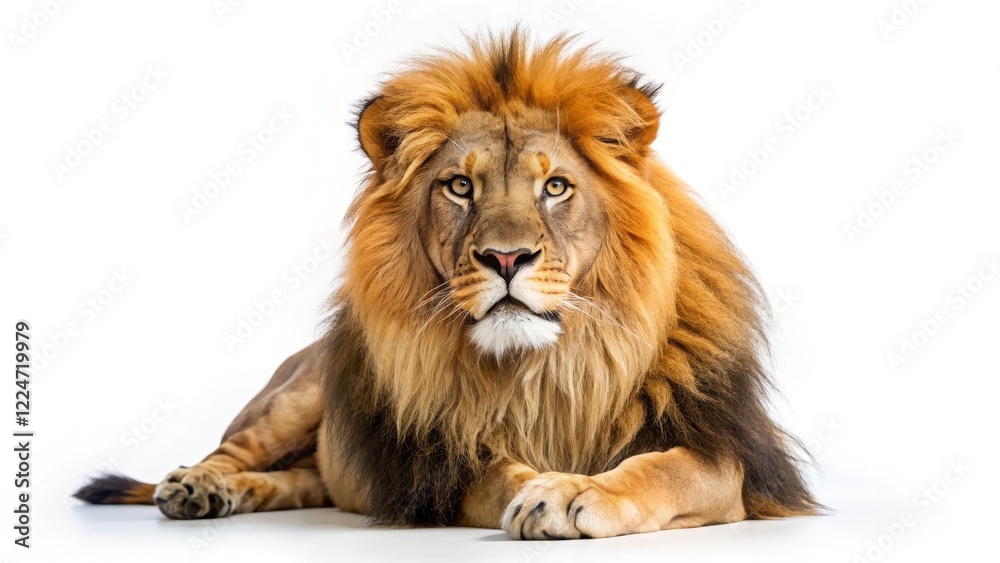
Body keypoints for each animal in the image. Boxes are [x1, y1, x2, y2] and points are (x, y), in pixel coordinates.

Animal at [74, 31, 819, 539]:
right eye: (460, 187)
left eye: (556, 187)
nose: (507, 257)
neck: (546, 371)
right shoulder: (439, 467)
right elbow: (502, 471)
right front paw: (546, 488)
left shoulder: (730, 461)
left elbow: (665, 467)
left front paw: (577, 491)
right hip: (296, 394)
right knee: (231, 448)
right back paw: (196, 486)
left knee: (302, 481)